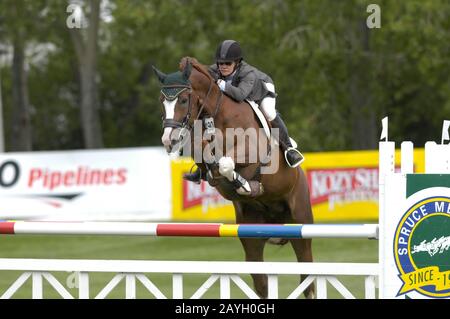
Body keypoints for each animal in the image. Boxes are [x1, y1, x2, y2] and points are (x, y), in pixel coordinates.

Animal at [153, 57, 314, 300]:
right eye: (162, 101)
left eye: (183, 99)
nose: (168, 140)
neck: (215, 114)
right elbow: (208, 156)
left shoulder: (251, 152)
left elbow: (227, 163)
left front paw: (246, 185)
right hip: (251, 236)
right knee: (261, 282)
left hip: (300, 224)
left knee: (308, 279)